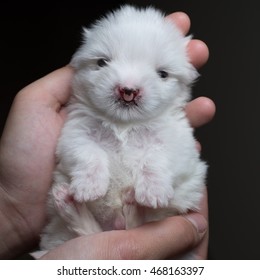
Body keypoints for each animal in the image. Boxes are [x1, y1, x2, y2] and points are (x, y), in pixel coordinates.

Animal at [38, 4, 207, 254]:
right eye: (102, 63)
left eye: (162, 74)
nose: (128, 90)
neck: (124, 125)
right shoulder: (74, 135)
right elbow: (89, 153)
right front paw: (89, 187)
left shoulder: (179, 145)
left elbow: (155, 158)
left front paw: (152, 191)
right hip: (64, 235)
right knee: (88, 232)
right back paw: (70, 204)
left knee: (139, 222)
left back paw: (133, 203)